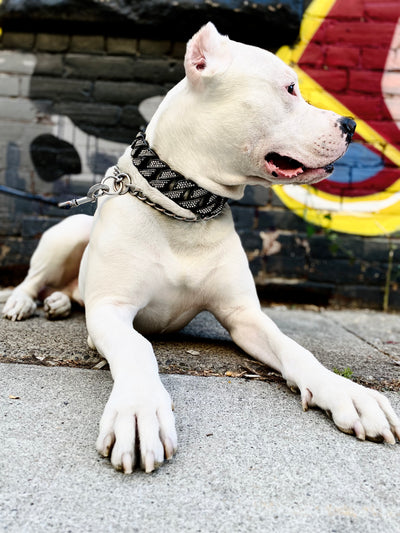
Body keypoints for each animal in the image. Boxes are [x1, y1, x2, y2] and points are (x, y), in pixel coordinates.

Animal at [2, 22, 396, 472]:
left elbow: (296, 350)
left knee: (66, 292)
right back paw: (21, 303)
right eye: (290, 88)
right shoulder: (111, 311)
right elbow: (138, 348)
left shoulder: (245, 316)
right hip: (67, 231)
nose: (350, 123)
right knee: (34, 279)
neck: (186, 207)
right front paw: (139, 410)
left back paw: (59, 303)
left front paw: (348, 393)